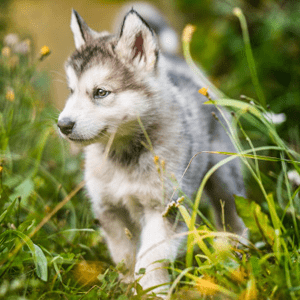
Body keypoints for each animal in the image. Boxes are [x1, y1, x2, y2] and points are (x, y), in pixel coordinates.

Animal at [56, 5, 246, 296]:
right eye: (71, 91)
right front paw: (126, 287)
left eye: (100, 92)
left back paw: (237, 255)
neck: (123, 157)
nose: (63, 125)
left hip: (224, 176)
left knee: (231, 213)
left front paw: (152, 292)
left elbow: (149, 258)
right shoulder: (110, 210)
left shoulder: (165, 208)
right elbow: (125, 256)